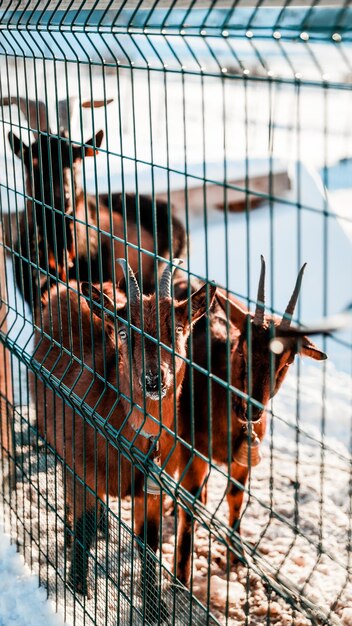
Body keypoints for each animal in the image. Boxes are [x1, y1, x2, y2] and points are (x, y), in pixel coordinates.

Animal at [31, 258, 216, 616]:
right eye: (123, 331)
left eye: (178, 330)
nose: (154, 380)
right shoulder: (83, 472)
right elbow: (85, 527)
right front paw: (79, 586)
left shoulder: (152, 490)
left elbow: (150, 544)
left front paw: (155, 607)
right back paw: (70, 532)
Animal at [176, 255, 328, 584]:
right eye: (242, 347)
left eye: (288, 361)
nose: (252, 410)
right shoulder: (192, 449)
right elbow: (188, 505)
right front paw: (180, 576)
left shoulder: (242, 460)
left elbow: (235, 498)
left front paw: (236, 556)